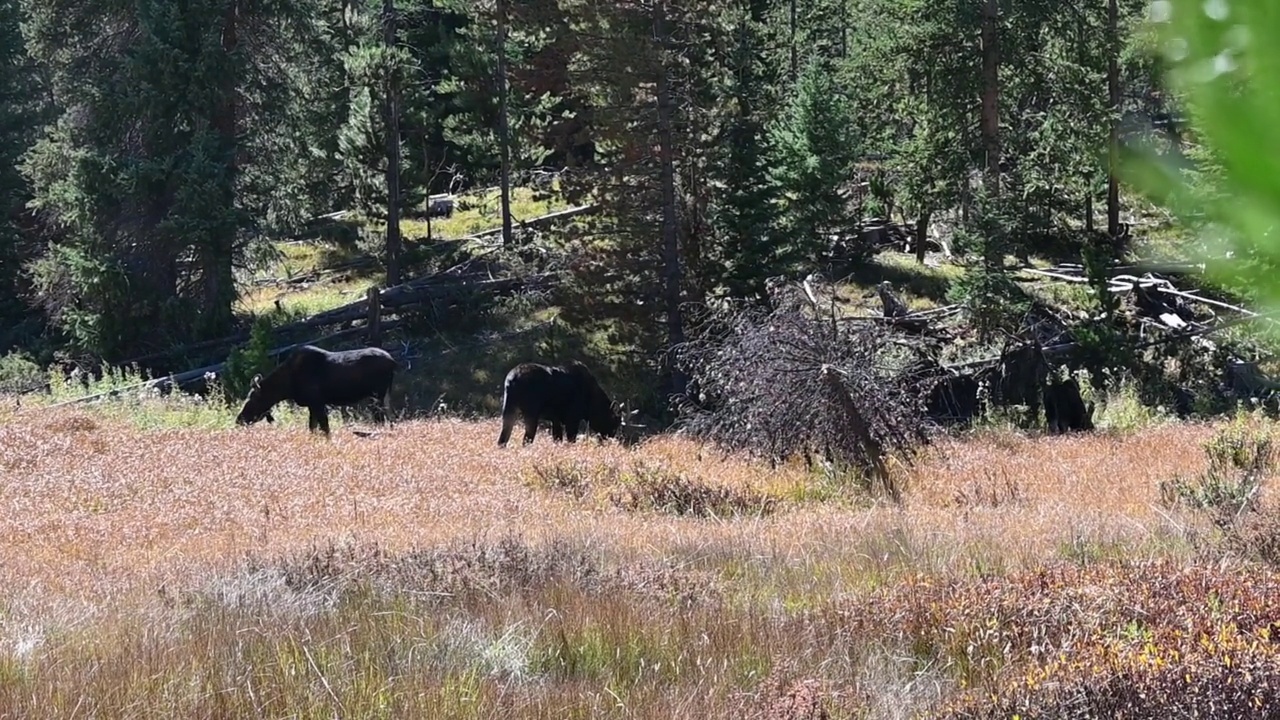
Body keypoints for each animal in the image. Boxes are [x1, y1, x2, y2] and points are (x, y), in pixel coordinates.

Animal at [238, 345, 396, 435]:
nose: (239, 419)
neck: (287, 386)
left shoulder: (317, 402)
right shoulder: (312, 405)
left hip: (377, 395)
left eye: (252, 399)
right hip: (384, 395)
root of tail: (393, 361)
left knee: (381, 419)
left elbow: (325, 429)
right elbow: (313, 429)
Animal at [494, 356, 629, 443]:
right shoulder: (572, 418)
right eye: (614, 422)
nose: (611, 437)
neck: (590, 406)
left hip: (509, 407)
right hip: (531, 412)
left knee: (503, 438)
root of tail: (511, 380)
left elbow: (557, 438)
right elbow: (570, 440)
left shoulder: (556, 419)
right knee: (526, 439)